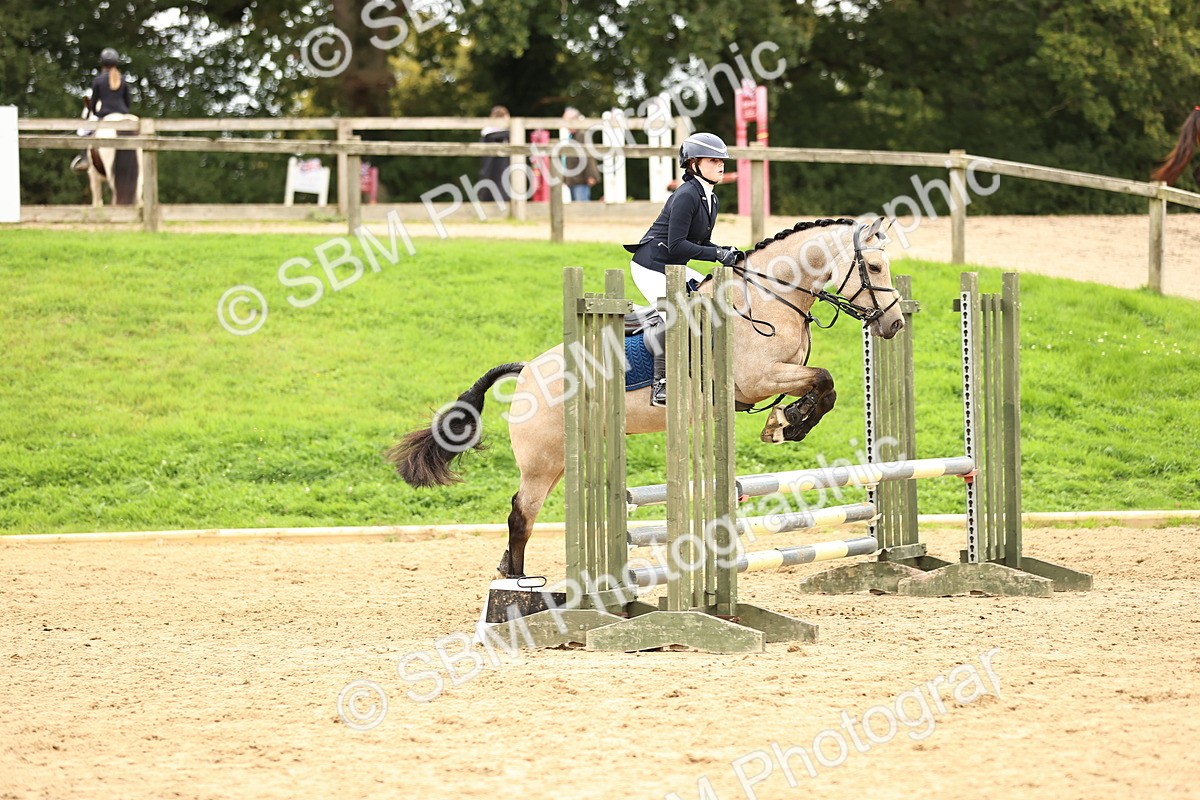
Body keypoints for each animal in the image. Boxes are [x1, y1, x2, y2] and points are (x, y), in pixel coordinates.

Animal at [388, 217, 905, 578]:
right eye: (875, 266)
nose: (895, 324)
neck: (768, 297)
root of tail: (527, 371)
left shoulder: (774, 377)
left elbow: (824, 386)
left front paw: (786, 421)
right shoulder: (758, 378)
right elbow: (823, 380)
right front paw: (787, 423)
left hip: (570, 456)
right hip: (542, 461)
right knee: (521, 514)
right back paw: (516, 586)